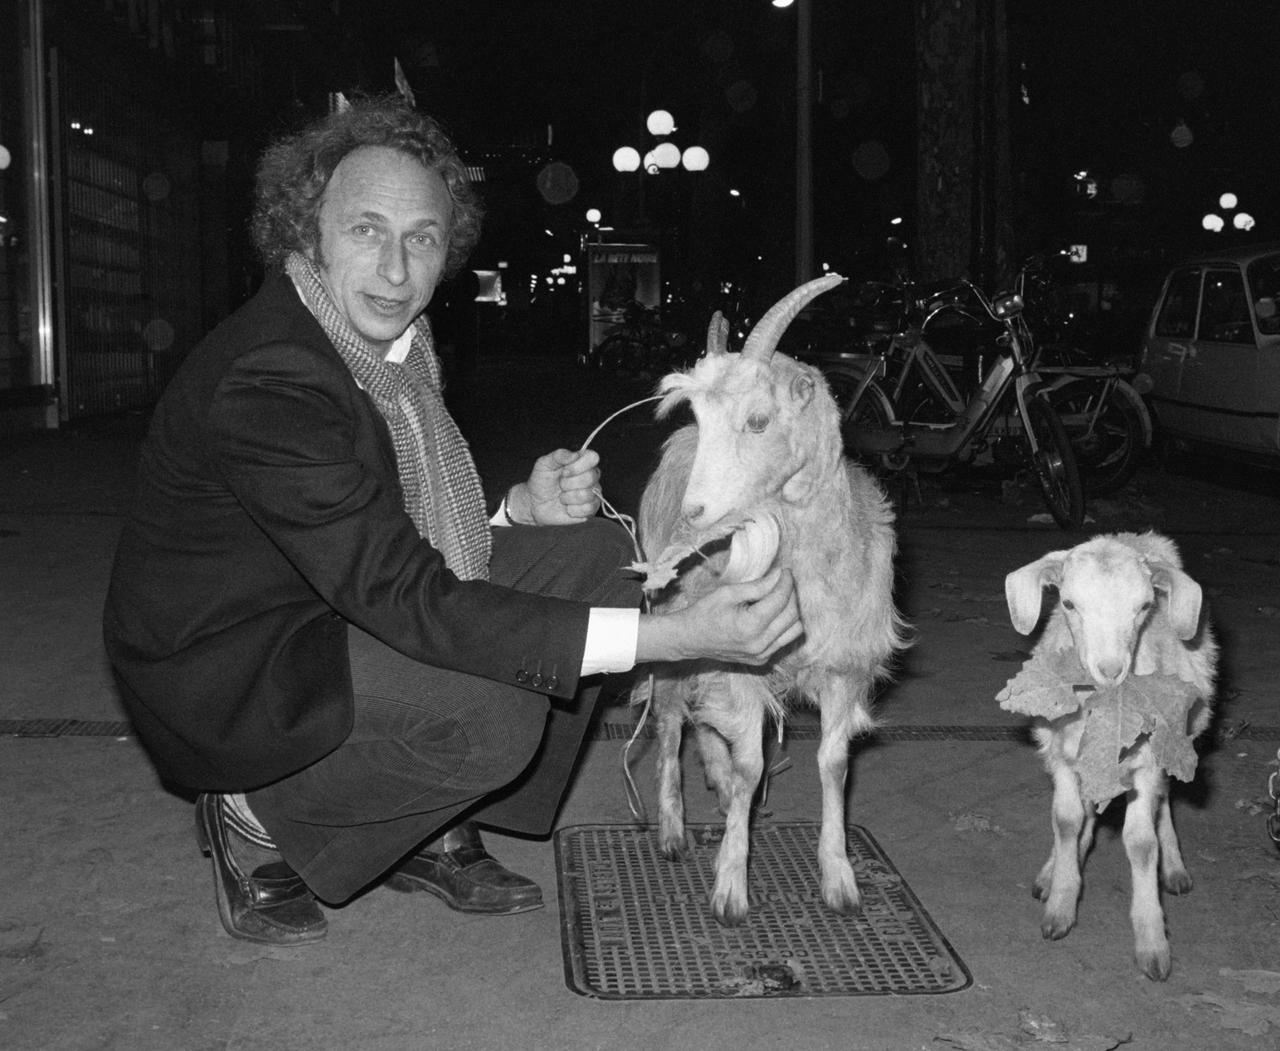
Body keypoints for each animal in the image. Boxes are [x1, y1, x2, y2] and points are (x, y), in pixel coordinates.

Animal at [634, 275, 906, 921]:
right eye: (701, 414)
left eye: (758, 420)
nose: (694, 514)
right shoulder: (740, 658)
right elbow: (751, 762)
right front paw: (731, 885)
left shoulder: (844, 665)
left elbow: (833, 764)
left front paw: (840, 879)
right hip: (673, 624)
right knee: (671, 720)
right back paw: (673, 828)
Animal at [998, 529, 1218, 978]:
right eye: (1068, 603)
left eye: (1145, 606)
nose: (1110, 670)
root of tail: (1136, 537)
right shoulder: (1064, 757)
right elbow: (1066, 821)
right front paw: (1060, 904)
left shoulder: (1149, 761)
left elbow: (1141, 842)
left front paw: (1152, 942)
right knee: (1085, 812)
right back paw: (1054, 870)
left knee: (1164, 800)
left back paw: (1174, 868)